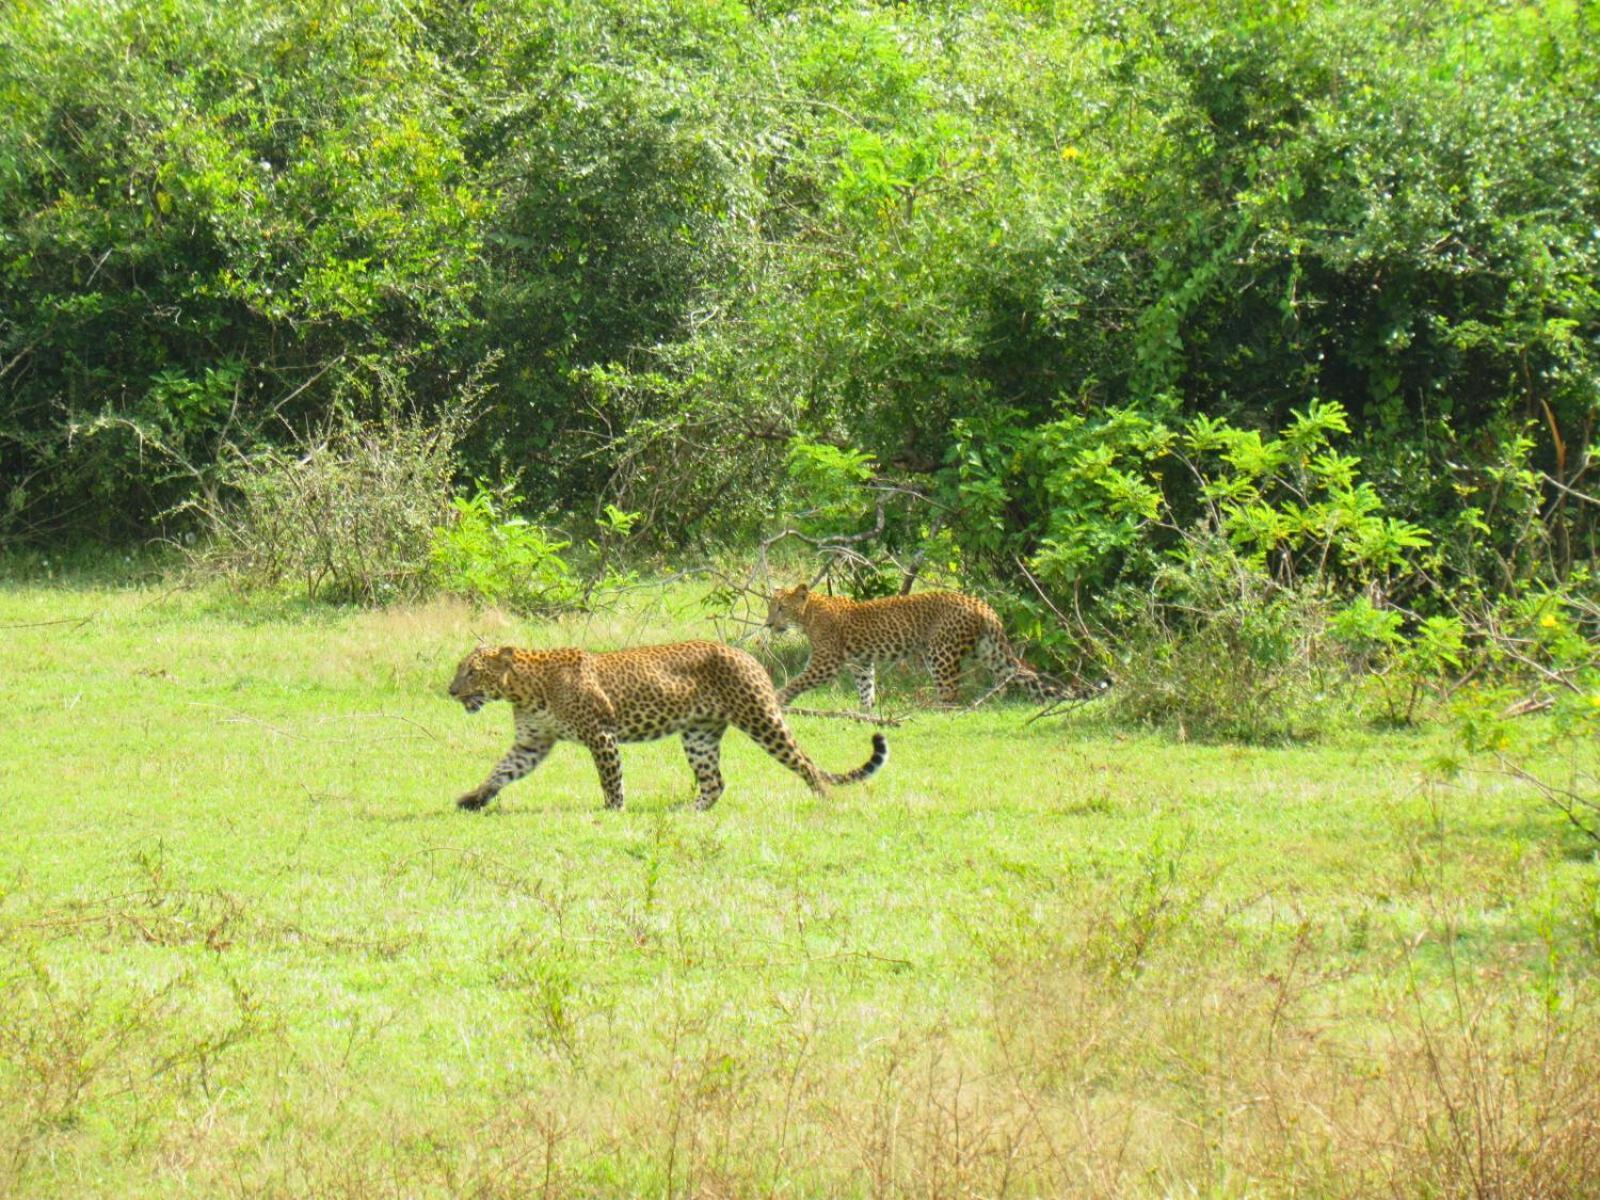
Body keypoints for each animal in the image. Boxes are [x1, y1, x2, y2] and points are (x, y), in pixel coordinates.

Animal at [448, 640, 889, 819]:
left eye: (471, 672)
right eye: (460, 670)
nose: (451, 691)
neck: (522, 689)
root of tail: (748, 655)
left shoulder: (600, 734)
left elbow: (610, 779)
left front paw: (614, 811)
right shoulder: (532, 742)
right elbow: (501, 771)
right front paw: (473, 798)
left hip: (761, 718)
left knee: (805, 761)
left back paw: (824, 799)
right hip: (699, 735)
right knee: (715, 782)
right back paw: (686, 812)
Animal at [764, 585, 1062, 710]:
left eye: (781, 608)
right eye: (771, 608)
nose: (767, 624)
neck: (808, 614)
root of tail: (981, 604)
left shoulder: (825, 662)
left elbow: (799, 681)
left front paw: (778, 699)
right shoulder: (861, 662)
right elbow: (866, 687)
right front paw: (867, 712)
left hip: (941, 653)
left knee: (951, 693)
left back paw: (936, 714)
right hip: (990, 651)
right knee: (1024, 675)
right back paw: (1042, 703)